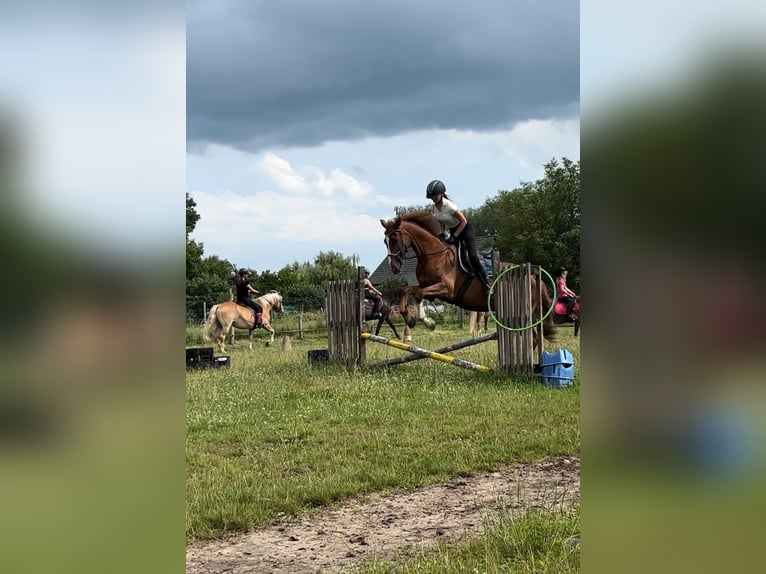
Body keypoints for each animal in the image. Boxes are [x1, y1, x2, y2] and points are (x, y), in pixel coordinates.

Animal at [380, 213, 556, 344]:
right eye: (385, 242)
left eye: (394, 239)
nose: (394, 268)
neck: (434, 256)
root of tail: (535, 278)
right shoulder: (427, 287)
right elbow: (407, 291)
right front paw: (410, 319)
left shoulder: (446, 289)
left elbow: (418, 294)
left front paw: (428, 322)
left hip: (522, 313)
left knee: (533, 339)